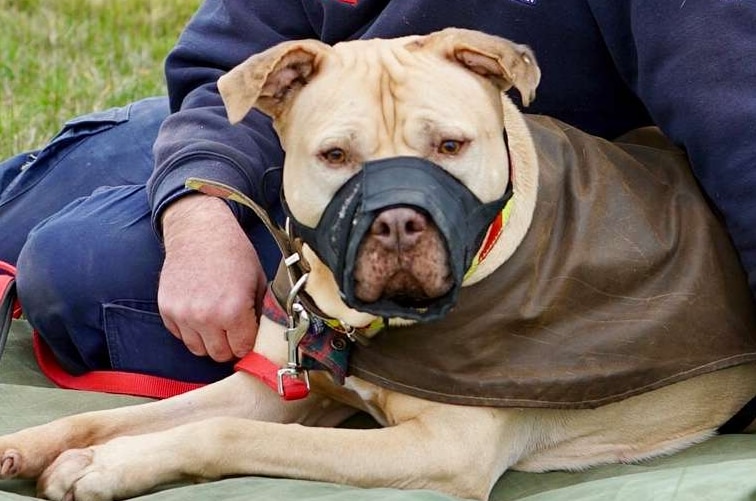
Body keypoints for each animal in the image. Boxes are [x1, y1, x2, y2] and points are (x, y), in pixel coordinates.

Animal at [1, 28, 756, 500]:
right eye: (335, 156)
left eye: (451, 145)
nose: (396, 222)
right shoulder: (274, 385)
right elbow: (114, 417)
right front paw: (42, 443)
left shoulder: (441, 449)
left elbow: (220, 431)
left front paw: (104, 467)